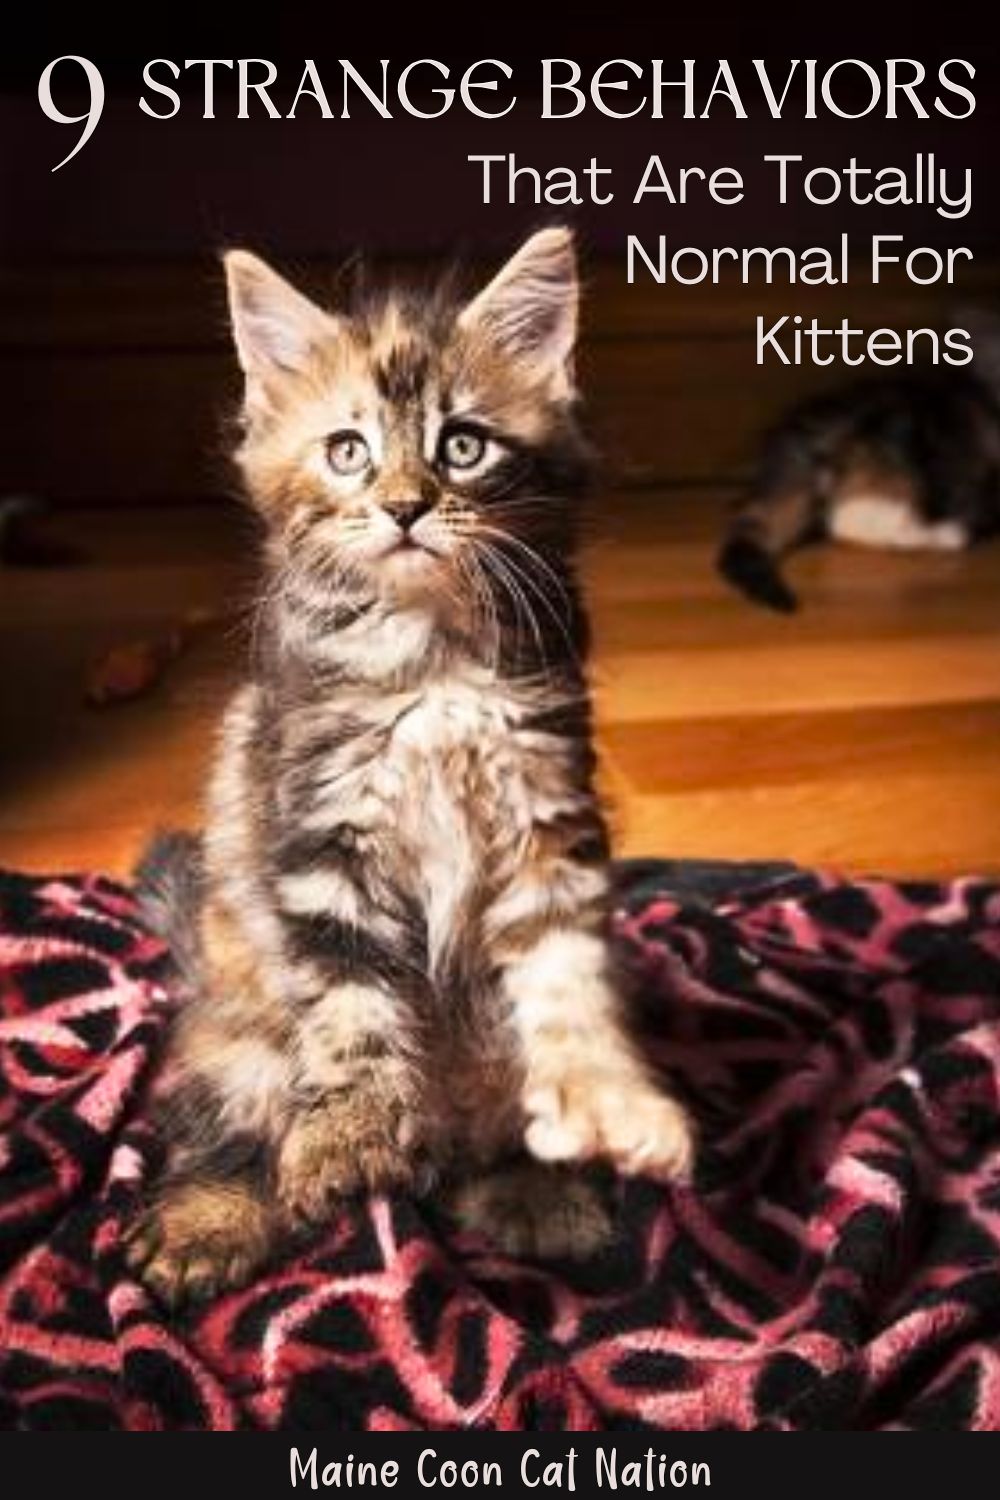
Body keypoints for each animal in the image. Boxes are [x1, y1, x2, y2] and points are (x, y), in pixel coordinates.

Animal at [125, 228, 692, 1308]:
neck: (431, 656)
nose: (402, 508)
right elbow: (349, 1000)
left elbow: (567, 979)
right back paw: (211, 1217)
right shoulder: (320, 826)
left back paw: (532, 1190)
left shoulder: (546, 815)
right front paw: (349, 1134)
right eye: (347, 451)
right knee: (224, 1124)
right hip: (240, 1034)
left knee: (491, 1133)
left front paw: (610, 1100)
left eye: (461, 445)